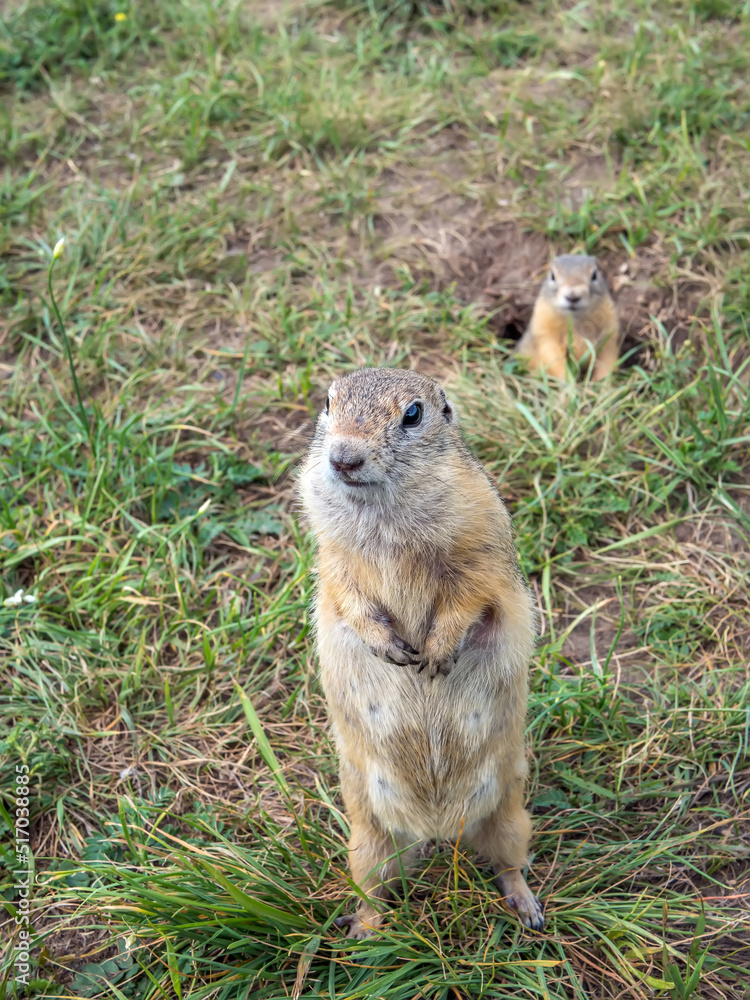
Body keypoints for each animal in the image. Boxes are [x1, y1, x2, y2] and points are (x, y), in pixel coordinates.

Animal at [302, 368, 548, 936]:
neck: (384, 514)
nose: (343, 458)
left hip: (511, 817)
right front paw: (390, 648)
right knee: (373, 888)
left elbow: (468, 598)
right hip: (367, 841)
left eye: (413, 414)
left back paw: (528, 909)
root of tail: (436, 830)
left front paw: (434, 655)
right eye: (327, 401)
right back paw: (363, 931)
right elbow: (347, 595)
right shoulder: (333, 557)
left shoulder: (480, 548)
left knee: (507, 865)